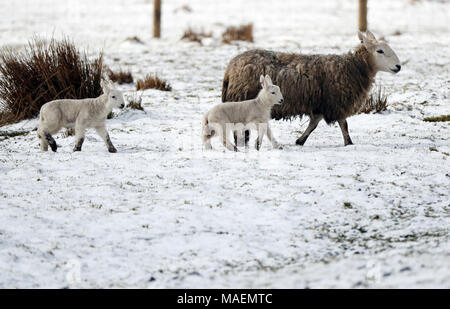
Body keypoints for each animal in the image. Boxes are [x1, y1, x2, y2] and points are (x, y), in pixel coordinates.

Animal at [221, 31, 400, 146]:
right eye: (380, 51)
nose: (398, 66)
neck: (354, 68)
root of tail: (230, 67)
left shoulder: (321, 103)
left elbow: (314, 124)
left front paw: (300, 140)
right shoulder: (335, 102)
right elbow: (344, 124)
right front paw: (349, 142)